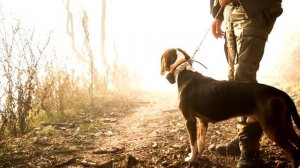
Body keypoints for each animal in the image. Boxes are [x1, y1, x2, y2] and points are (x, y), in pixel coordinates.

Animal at [161, 48, 300, 167]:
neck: (183, 70)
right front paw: (198, 156)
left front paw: (191, 159)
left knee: (293, 153)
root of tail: (276, 91)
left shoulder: (189, 120)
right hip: (284, 124)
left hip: (273, 128)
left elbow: (193, 143)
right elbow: (201, 142)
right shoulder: (203, 121)